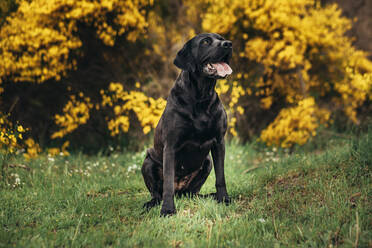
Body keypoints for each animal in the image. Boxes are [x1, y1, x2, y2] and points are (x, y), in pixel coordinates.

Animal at [141, 33, 231, 217]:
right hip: (147, 162)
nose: (229, 44)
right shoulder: (170, 146)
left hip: (207, 162)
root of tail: (180, 190)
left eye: (221, 38)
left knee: (192, 192)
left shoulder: (219, 142)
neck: (201, 96)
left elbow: (221, 177)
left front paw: (223, 198)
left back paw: (209, 196)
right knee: (157, 193)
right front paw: (168, 210)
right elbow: (168, 183)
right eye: (205, 42)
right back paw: (152, 203)